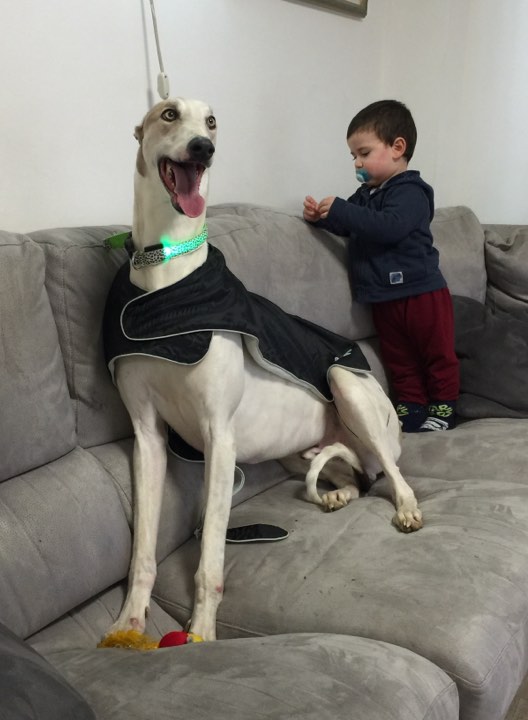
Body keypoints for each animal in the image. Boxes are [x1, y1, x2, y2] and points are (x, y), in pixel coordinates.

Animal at [105, 97, 422, 642]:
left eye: (212, 121)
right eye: (168, 114)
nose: (203, 149)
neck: (166, 279)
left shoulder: (219, 437)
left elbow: (210, 554)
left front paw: (201, 633)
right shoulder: (147, 436)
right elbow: (143, 550)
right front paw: (129, 621)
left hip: (346, 386)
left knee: (394, 471)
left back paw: (405, 506)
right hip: (303, 451)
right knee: (359, 477)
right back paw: (337, 495)